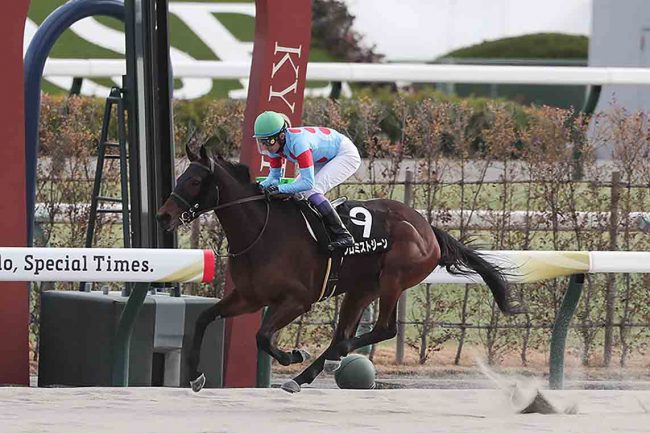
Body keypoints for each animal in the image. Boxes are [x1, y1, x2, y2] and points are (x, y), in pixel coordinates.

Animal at [156, 144, 526, 393]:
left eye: (194, 181)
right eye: (181, 176)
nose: (163, 215)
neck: (262, 230)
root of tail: (428, 229)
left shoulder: (297, 301)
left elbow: (262, 336)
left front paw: (292, 354)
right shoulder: (249, 297)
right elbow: (204, 319)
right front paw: (195, 376)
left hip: (393, 280)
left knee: (382, 330)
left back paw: (327, 360)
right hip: (362, 290)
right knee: (345, 333)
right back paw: (307, 373)